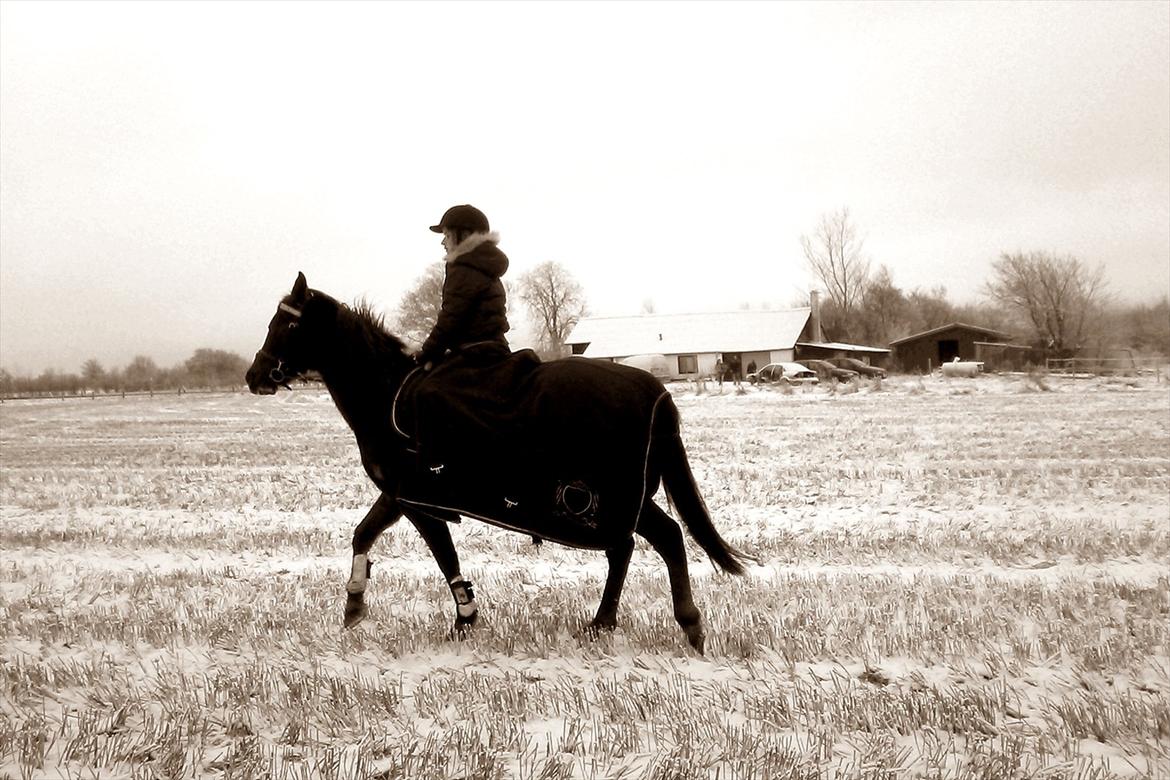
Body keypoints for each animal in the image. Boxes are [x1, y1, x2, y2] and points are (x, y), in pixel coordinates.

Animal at [245, 274, 748, 654]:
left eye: (286, 324)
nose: (254, 375)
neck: (387, 394)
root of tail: (652, 389)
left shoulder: (418, 499)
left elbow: (441, 553)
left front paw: (464, 617)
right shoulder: (400, 495)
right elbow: (364, 533)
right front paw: (354, 604)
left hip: (604, 496)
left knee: (651, 541)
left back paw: (664, 623)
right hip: (618, 497)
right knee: (643, 544)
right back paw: (626, 623)